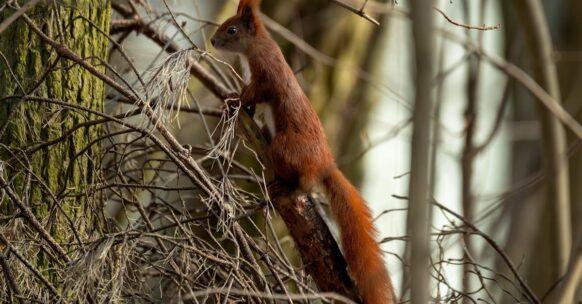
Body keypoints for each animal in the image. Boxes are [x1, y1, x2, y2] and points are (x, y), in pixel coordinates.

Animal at [211, 1, 396, 302]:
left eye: (232, 29)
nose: (213, 41)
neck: (255, 47)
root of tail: (325, 163)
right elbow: (249, 101)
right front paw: (237, 105)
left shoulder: (267, 76)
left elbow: (255, 93)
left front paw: (233, 99)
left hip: (286, 149)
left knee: (305, 182)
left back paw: (286, 188)